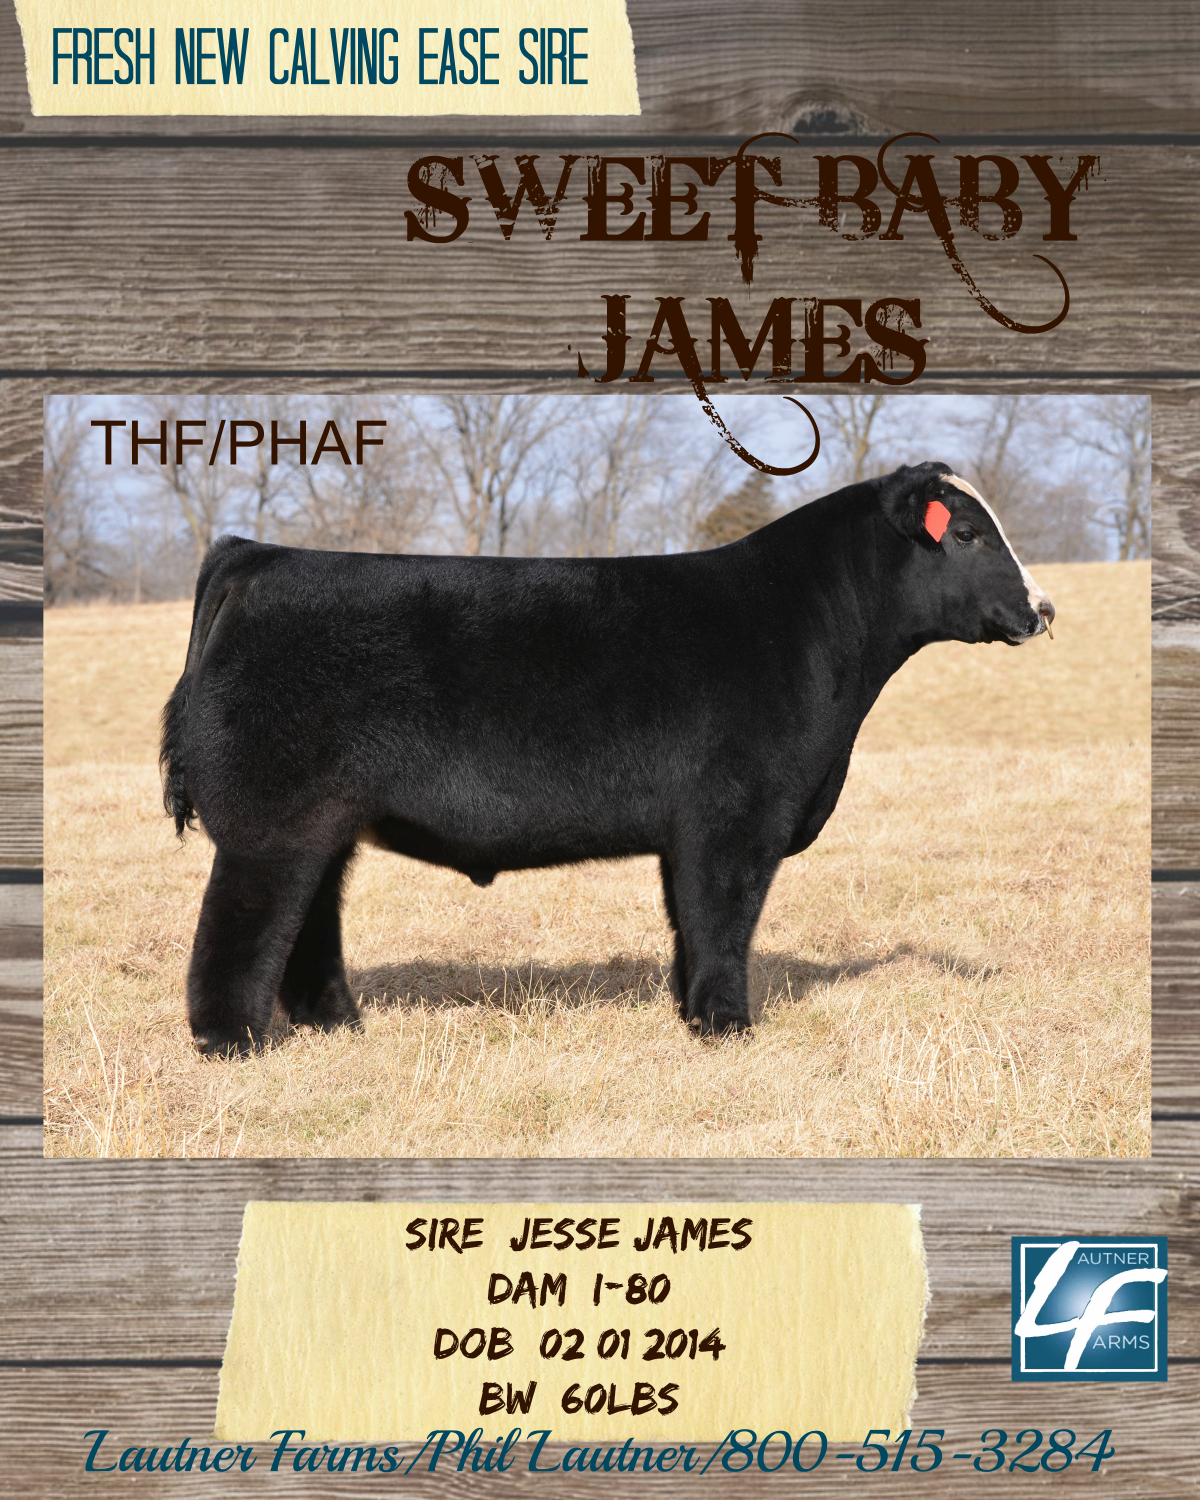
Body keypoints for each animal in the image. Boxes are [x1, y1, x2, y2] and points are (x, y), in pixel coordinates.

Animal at [161, 460, 1054, 1056]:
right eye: (966, 533)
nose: (1043, 609)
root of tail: (257, 555)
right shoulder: (736, 820)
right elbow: (724, 920)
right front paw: (729, 1028)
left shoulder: (692, 831)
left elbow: (690, 924)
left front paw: (693, 1017)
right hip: (271, 824)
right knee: (237, 928)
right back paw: (231, 1043)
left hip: (324, 823)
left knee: (309, 919)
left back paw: (341, 1026)